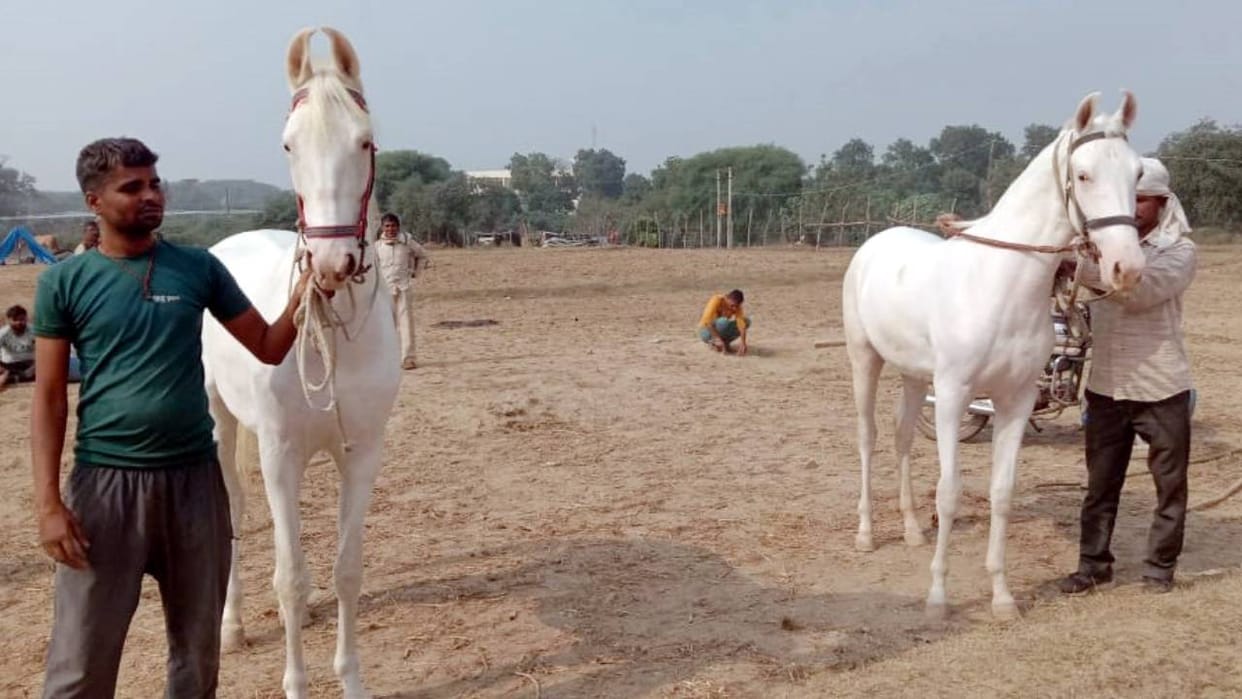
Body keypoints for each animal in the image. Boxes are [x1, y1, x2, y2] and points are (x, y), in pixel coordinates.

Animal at [201, 27, 400, 698]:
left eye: (365, 140)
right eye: (288, 145)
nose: (331, 264)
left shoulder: (360, 453)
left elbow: (345, 571)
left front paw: (352, 680)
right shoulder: (279, 452)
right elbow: (290, 577)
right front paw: (295, 683)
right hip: (221, 422)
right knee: (233, 511)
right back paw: (231, 625)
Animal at [841, 91, 1147, 620]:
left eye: (1137, 173)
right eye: (1084, 174)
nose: (1126, 267)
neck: (999, 283)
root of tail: (873, 243)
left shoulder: (1016, 400)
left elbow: (1002, 493)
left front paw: (1003, 598)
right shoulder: (954, 396)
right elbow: (949, 493)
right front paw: (938, 598)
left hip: (914, 377)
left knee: (902, 439)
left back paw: (912, 530)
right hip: (866, 361)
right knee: (868, 439)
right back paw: (866, 534)